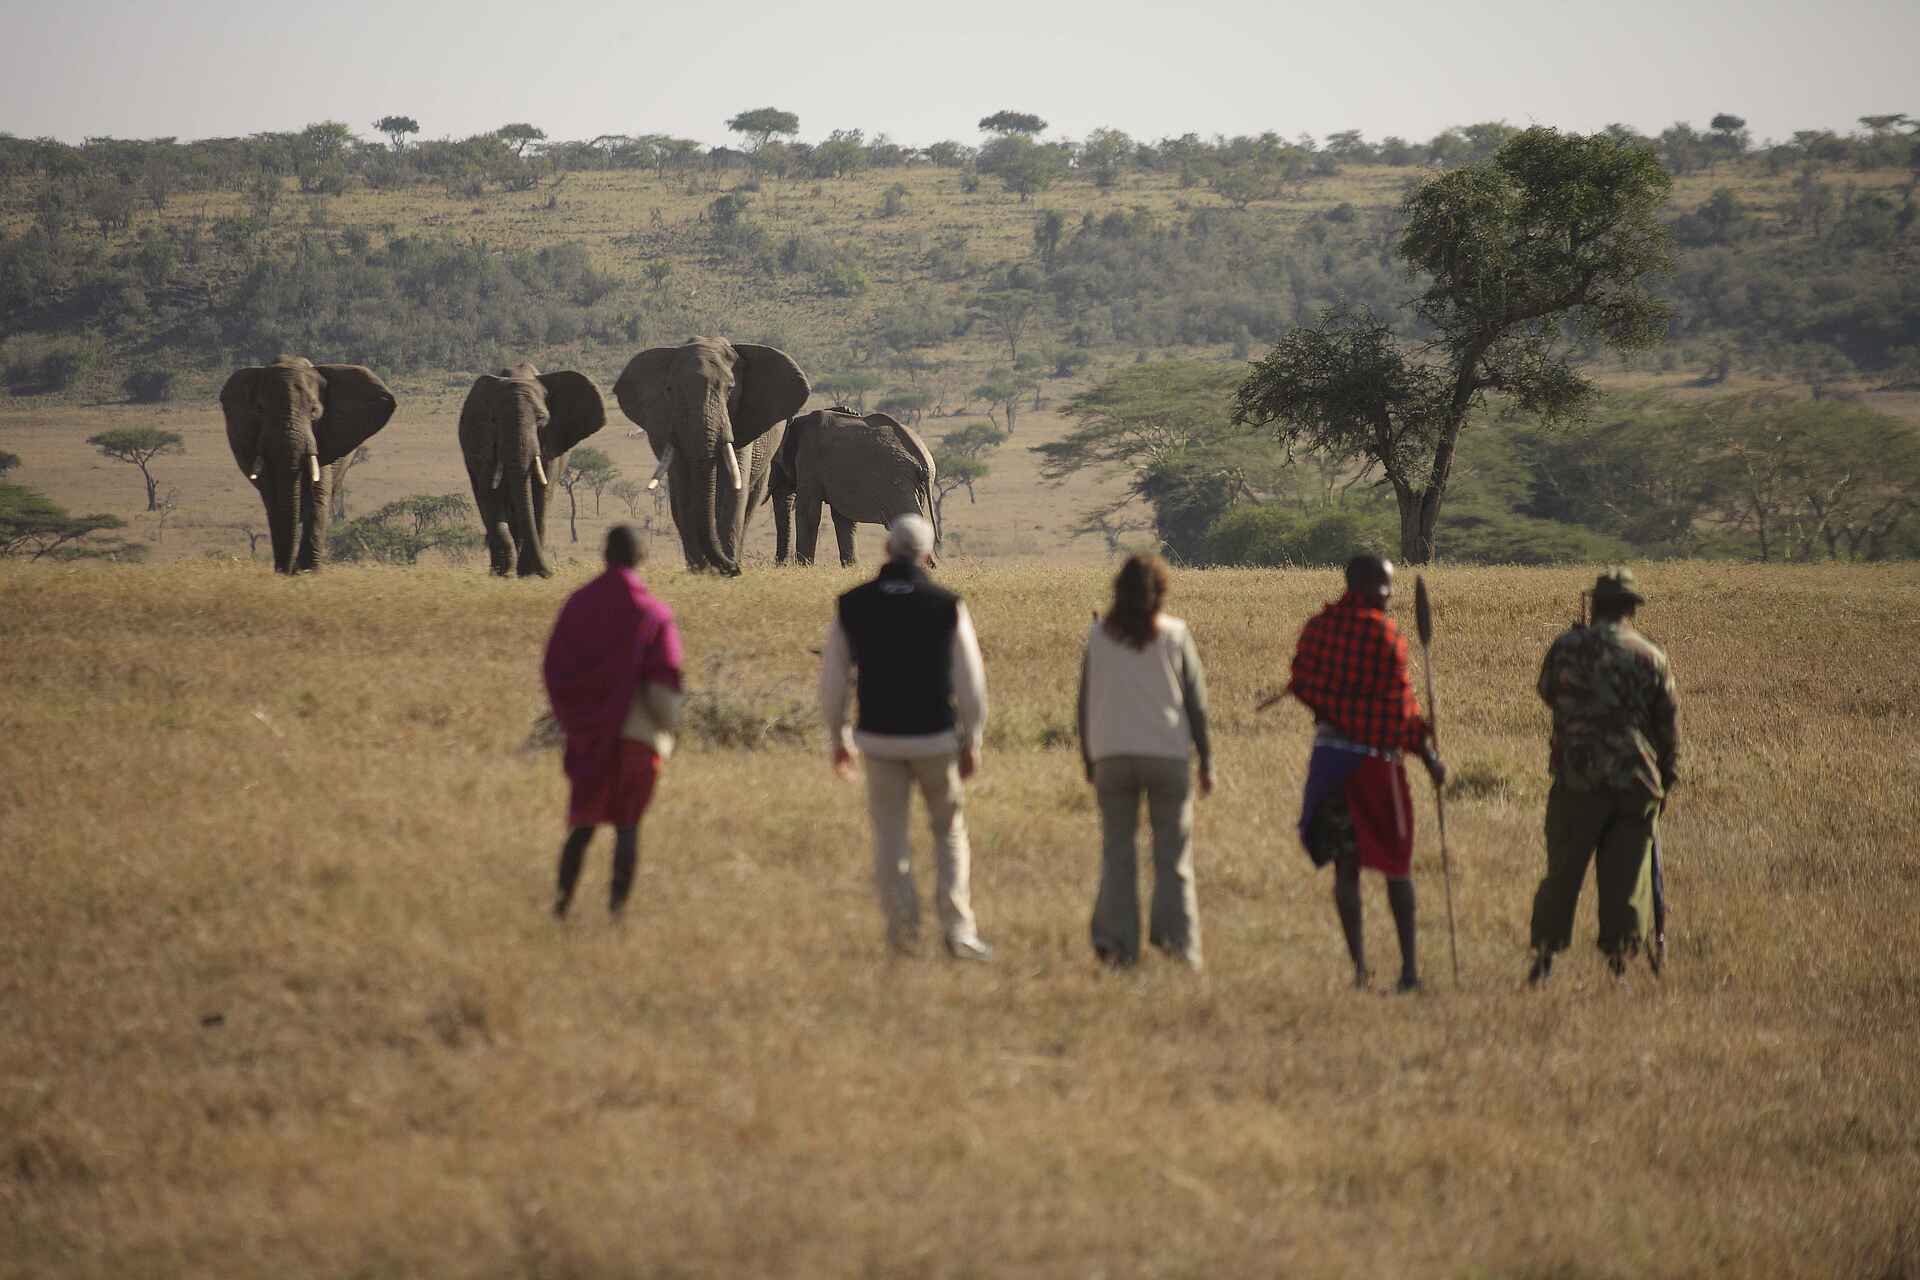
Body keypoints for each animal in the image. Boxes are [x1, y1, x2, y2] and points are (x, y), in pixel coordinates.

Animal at [220, 356, 397, 573]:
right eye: (260, 409)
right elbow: (272, 498)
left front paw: (307, 572)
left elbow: (317, 494)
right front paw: (286, 571)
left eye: (314, 411)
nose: (285, 570)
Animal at [457, 364, 608, 577]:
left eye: (540, 419)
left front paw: (530, 573)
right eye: (494, 420)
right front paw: (504, 573)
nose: (548, 572)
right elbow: (489, 493)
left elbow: (541, 493)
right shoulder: (483, 443)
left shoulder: (551, 446)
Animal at [612, 337, 810, 576]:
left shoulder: (740, 421)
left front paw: (725, 570)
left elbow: (733, 493)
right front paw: (700, 570)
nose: (734, 569)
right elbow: (683, 496)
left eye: (731, 389)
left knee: (749, 501)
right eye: (670, 389)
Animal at [770, 408, 937, 566]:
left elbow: (808, 513)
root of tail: (924, 460)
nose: (781, 565)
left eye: (774, 464)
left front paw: (804, 567)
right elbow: (842, 518)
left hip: (899, 481)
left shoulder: (808, 461)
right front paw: (850, 567)